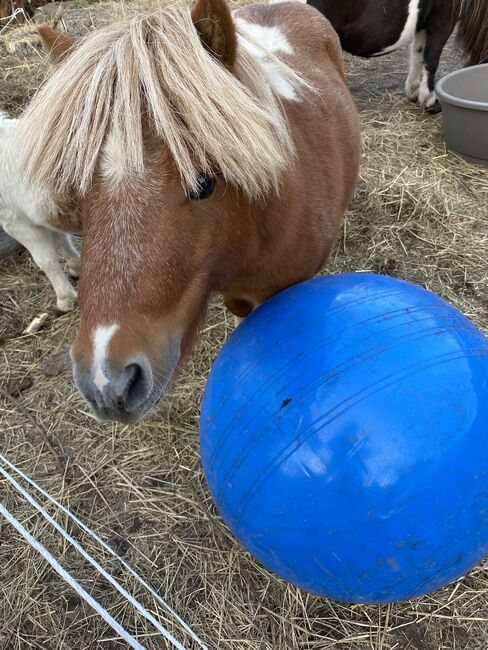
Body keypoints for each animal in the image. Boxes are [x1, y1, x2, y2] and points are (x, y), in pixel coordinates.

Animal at [306, 0, 488, 110]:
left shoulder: (424, 21)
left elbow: (418, 54)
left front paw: (414, 91)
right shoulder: (442, 21)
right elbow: (431, 59)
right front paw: (429, 98)